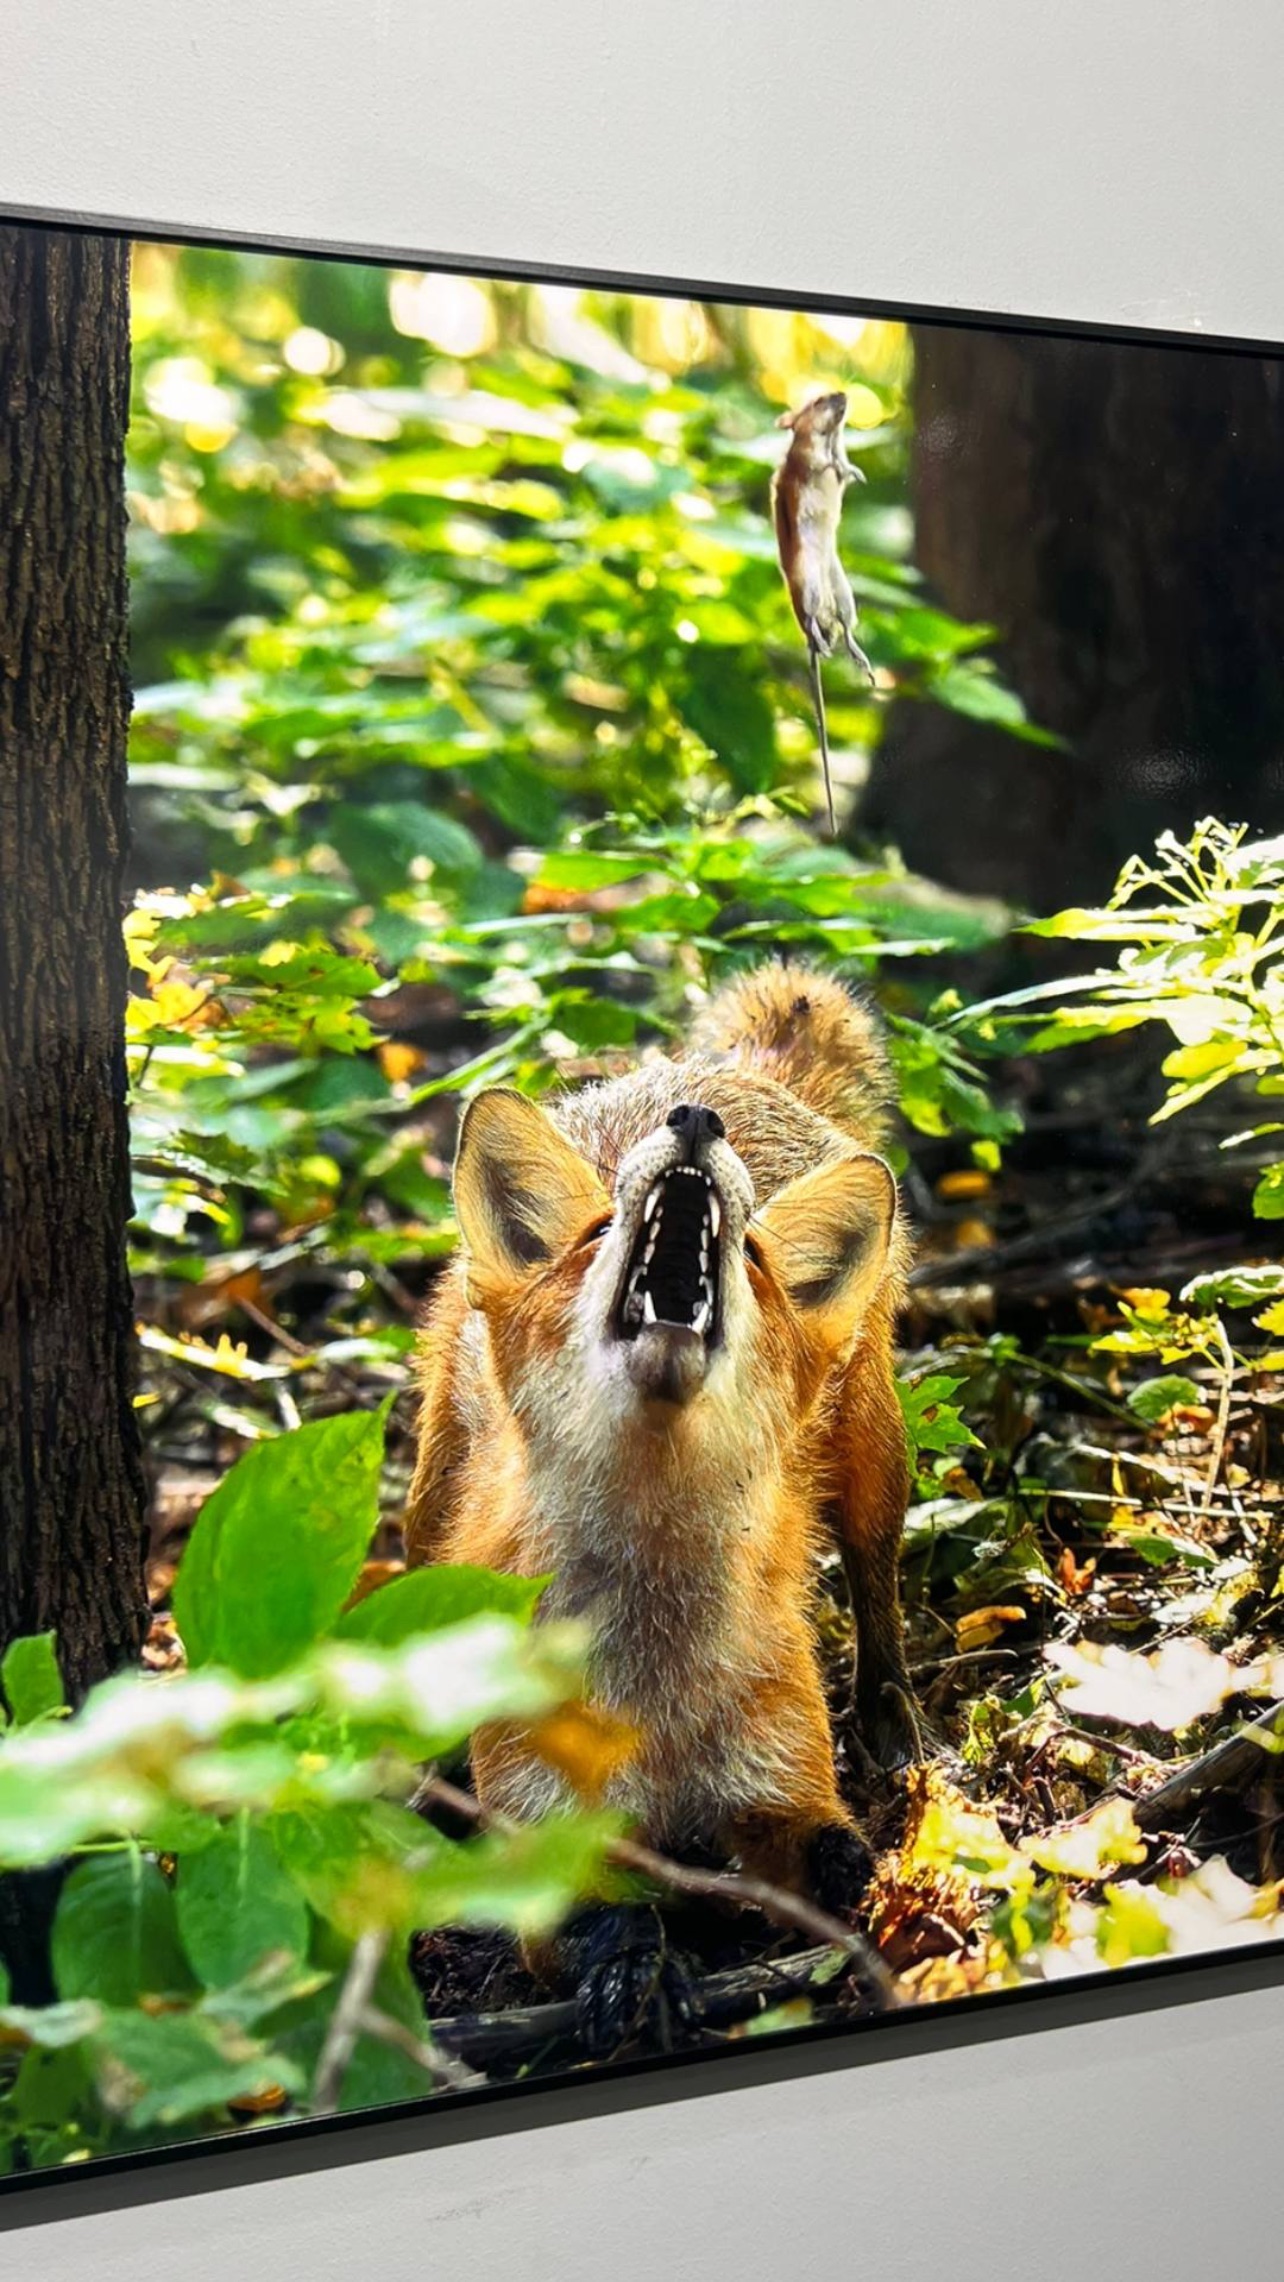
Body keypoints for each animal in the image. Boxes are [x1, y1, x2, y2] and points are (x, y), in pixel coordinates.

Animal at [405, 963, 921, 2035]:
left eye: (755, 1260)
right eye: (597, 1233)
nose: (695, 1127)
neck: (660, 1696)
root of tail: (707, 1071)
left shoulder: (783, 1783)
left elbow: (842, 1862)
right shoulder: (545, 1830)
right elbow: (601, 1920)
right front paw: (637, 1975)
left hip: (874, 1465)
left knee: (879, 1591)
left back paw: (894, 1722)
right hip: (426, 1509)